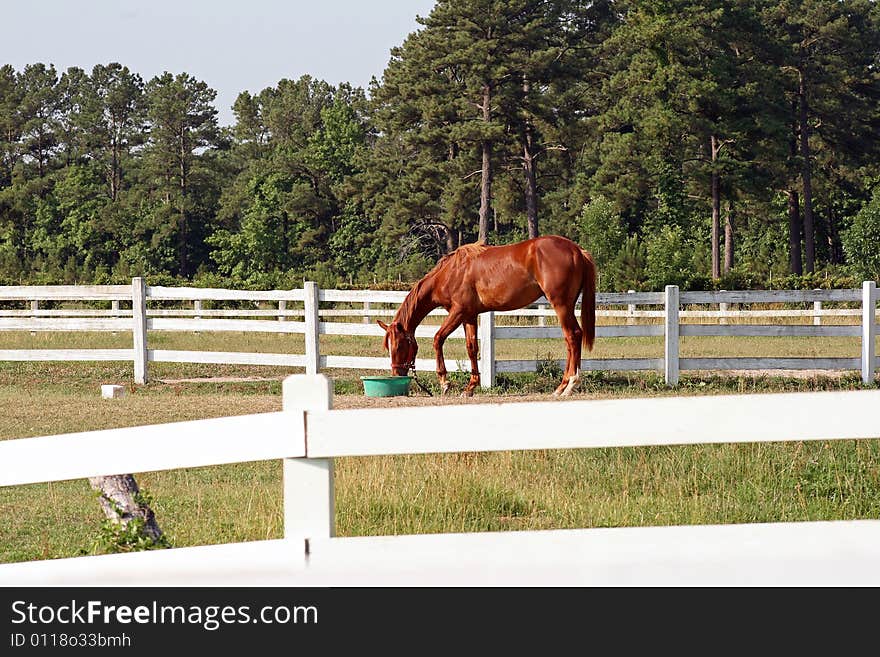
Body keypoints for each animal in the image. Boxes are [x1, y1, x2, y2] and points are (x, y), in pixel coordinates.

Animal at [378, 237, 600, 398]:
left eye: (399, 346)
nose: (396, 374)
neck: (450, 272)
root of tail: (577, 251)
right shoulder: (469, 315)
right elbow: (471, 348)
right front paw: (470, 388)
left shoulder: (457, 312)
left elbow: (437, 339)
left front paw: (444, 382)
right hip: (566, 306)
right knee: (570, 340)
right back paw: (563, 386)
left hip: (561, 305)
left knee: (573, 336)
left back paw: (568, 385)